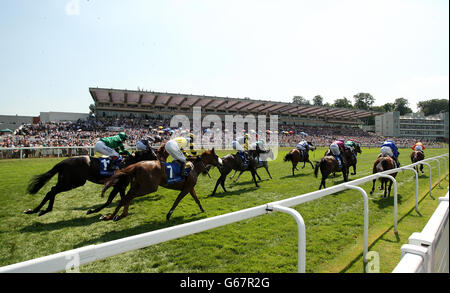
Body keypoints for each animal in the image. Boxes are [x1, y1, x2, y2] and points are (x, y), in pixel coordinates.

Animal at [23, 146, 167, 217]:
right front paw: (93, 211)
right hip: (73, 182)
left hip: (67, 181)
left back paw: (41, 210)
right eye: (155, 154)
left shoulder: (121, 186)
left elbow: (122, 198)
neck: (128, 163)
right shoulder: (119, 185)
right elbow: (110, 200)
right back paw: (40, 210)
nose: (161, 164)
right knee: (52, 190)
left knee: (51, 190)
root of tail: (64, 161)